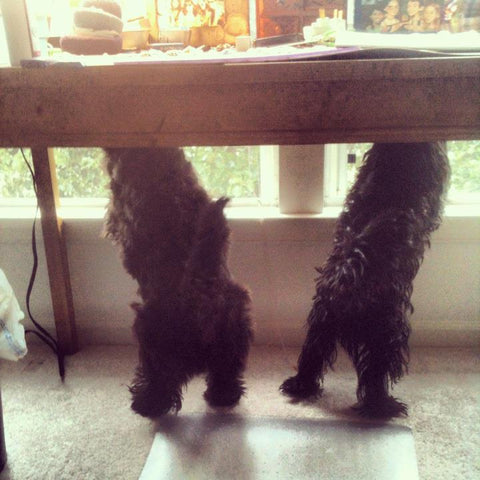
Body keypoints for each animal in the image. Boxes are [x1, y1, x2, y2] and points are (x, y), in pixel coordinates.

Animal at [103, 148, 253, 418]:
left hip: (149, 331)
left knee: (160, 378)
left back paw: (146, 403)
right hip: (236, 330)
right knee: (226, 373)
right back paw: (223, 395)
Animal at [282, 143, 450, 420]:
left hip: (320, 326)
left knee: (311, 357)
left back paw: (300, 386)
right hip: (385, 335)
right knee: (374, 376)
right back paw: (384, 406)